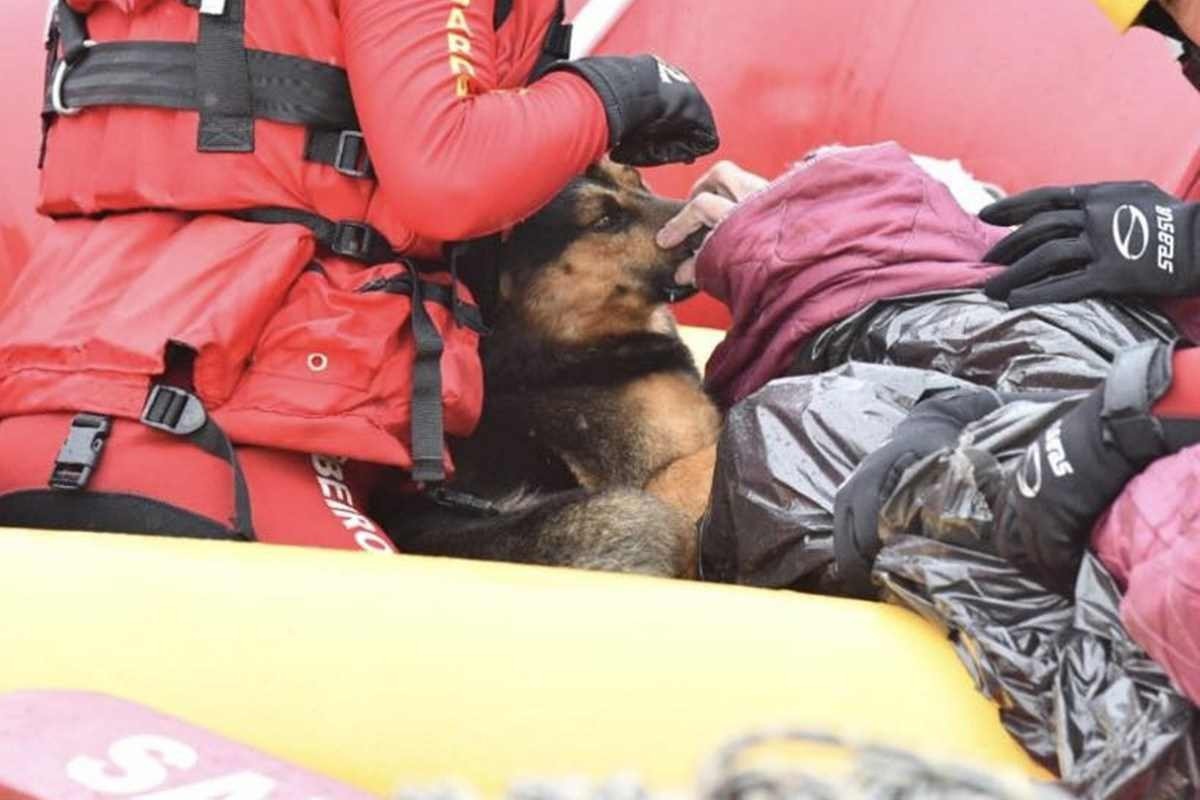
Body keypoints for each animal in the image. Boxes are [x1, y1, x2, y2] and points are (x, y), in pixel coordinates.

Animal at [379, 160, 720, 575]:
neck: (568, 339)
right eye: (606, 220)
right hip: (636, 512)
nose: (714, 222)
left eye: (638, 180)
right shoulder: (661, 482)